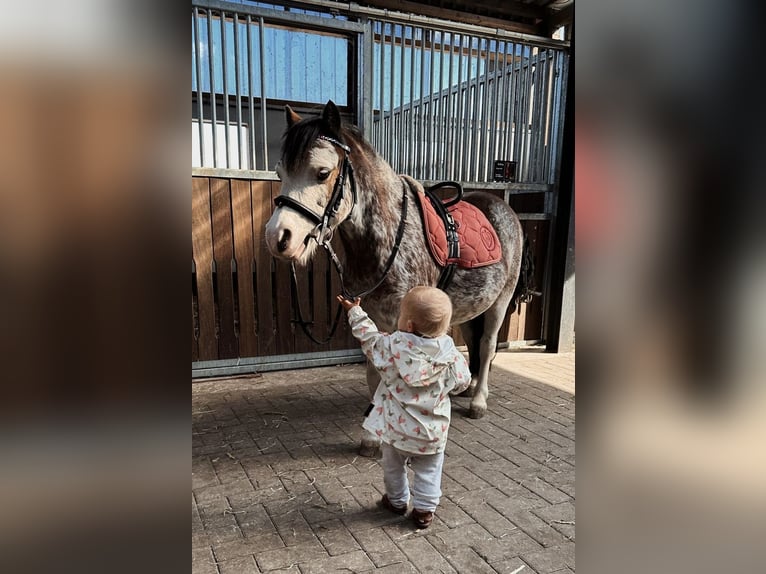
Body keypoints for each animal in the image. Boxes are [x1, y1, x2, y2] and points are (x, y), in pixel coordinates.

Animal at [265, 100, 531, 456]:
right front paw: (371, 438)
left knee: (487, 346)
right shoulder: (373, 317)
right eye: (281, 174)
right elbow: (373, 374)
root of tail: (504, 208)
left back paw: (478, 401)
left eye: (322, 172)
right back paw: (468, 388)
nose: (278, 237)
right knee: (474, 342)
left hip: (500, 301)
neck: (389, 237)